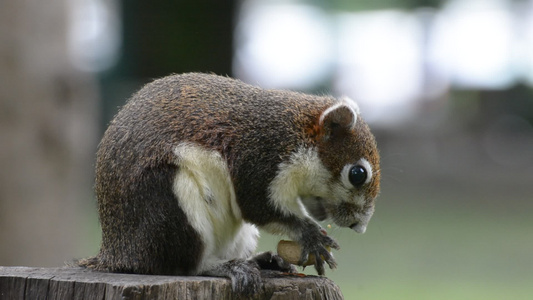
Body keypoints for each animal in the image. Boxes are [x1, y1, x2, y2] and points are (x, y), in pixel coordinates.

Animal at [78, 72, 378, 296]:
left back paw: (264, 260)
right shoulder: (259, 159)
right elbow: (258, 207)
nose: (360, 226)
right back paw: (227, 268)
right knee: (180, 266)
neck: (296, 135)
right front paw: (311, 236)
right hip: (170, 203)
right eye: (358, 174)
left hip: (237, 234)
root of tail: (116, 255)